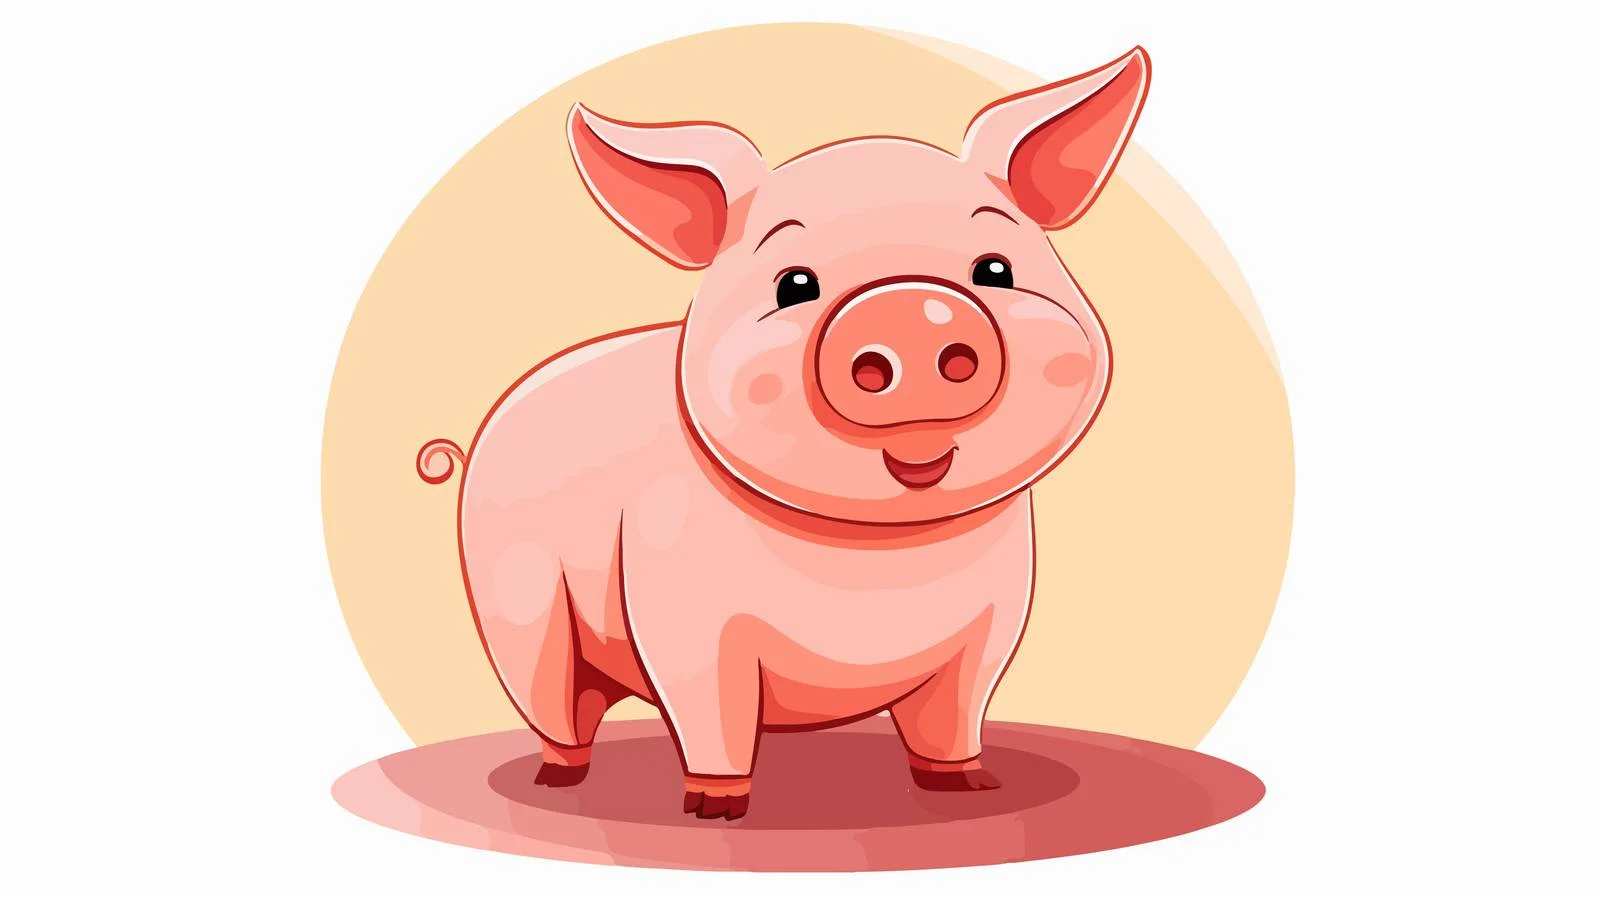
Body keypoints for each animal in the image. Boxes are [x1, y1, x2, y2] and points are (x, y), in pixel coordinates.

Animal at [416, 48, 1150, 820]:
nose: (913, 311)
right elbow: (712, 711)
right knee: (554, 700)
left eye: (995, 271)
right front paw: (714, 808)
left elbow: (954, 715)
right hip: (517, 601)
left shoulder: (992, 622)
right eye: (794, 285)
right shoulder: (684, 615)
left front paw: (969, 786)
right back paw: (559, 778)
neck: (876, 555)